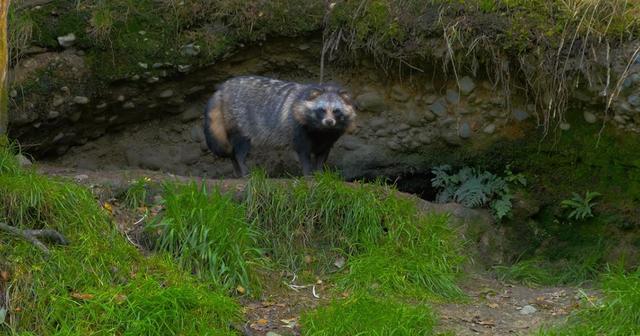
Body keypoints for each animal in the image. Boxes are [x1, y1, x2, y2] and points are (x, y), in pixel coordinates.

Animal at [204, 75, 358, 177]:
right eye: (322, 110)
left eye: (336, 111)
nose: (329, 122)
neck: (321, 130)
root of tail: (222, 89)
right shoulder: (298, 128)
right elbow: (303, 152)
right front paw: (308, 174)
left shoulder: (329, 138)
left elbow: (322, 155)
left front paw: (319, 173)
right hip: (239, 121)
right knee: (239, 149)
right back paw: (243, 169)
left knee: (232, 151)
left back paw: (237, 171)